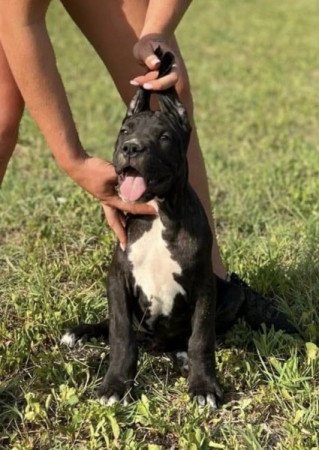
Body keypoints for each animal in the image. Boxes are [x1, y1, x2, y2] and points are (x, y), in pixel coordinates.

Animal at [62, 51, 222, 408]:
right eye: (125, 130)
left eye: (164, 137)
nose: (132, 148)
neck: (158, 213)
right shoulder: (118, 279)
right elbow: (121, 334)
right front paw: (115, 384)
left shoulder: (204, 284)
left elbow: (201, 337)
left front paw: (203, 385)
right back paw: (79, 332)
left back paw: (182, 356)